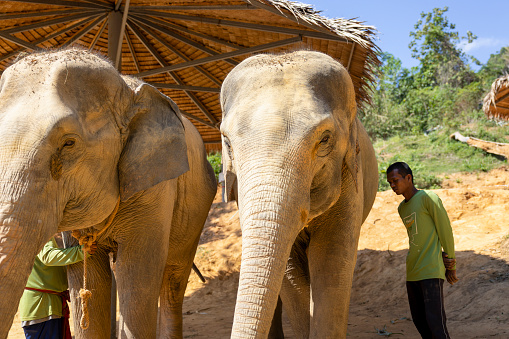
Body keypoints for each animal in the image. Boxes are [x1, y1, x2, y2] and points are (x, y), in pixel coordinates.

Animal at [0, 48, 216, 339]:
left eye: (69, 143)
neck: (127, 92)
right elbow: (89, 278)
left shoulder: (155, 189)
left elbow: (135, 276)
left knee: (172, 278)